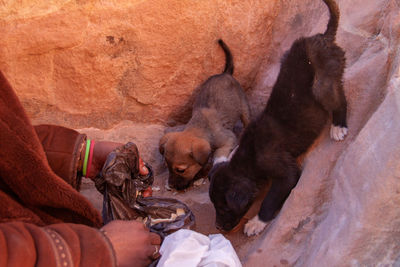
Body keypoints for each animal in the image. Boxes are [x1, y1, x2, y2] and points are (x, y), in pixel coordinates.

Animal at [159, 39, 250, 191]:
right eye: (167, 166)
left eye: (181, 170)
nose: (171, 185)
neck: (201, 127)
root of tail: (225, 73)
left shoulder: (228, 138)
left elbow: (220, 154)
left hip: (244, 107)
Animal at [209, 0, 346, 237]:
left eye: (224, 208)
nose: (218, 227)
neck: (247, 159)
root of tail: (322, 37)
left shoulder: (285, 172)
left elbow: (270, 200)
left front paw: (256, 222)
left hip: (323, 84)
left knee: (340, 100)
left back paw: (338, 127)